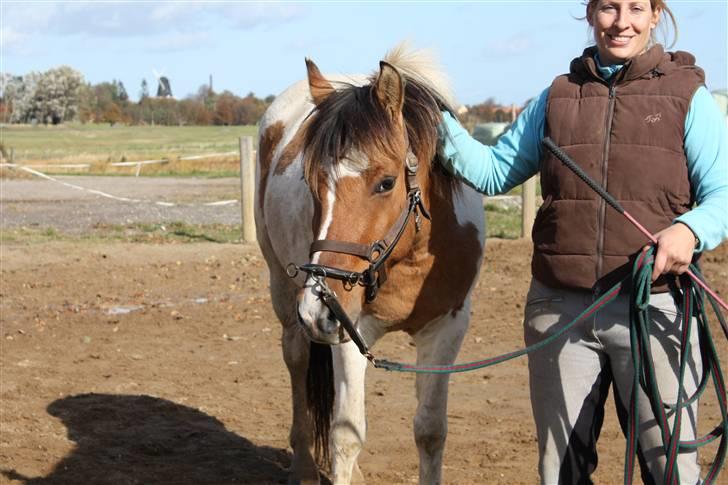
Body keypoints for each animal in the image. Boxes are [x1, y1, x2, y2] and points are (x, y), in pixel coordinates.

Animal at [253, 43, 486, 482]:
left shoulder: (446, 328)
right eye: (310, 181)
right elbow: (347, 435)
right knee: (297, 357)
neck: (411, 259)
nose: (318, 307)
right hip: (283, 288)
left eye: (386, 183)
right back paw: (304, 466)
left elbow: (431, 430)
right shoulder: (350, 328)